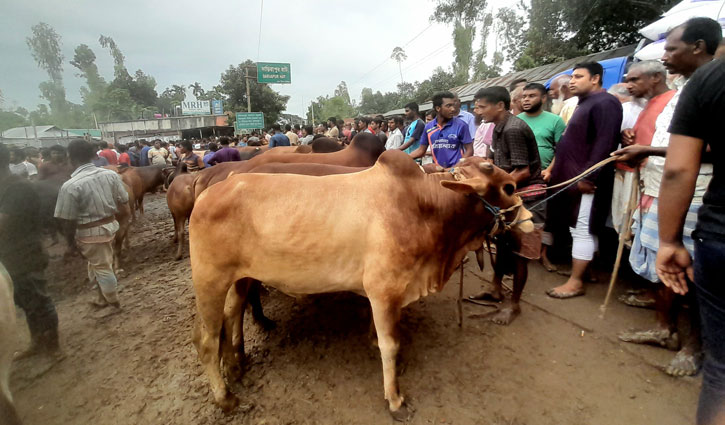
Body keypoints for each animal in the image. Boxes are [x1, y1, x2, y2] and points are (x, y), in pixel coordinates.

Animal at [188, 151, 532, 416]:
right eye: (509, 186)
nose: (529, 220)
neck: (424, 204)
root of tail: (208, 191)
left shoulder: (384, 294)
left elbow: (381, 336)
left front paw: (373, 343)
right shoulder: (385, 290)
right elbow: (391, 344)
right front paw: (395, 400)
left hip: (238, 279)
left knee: (230, 319)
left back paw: (237, 370)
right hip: (210, 281)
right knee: (207, 341)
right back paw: (227, 398)